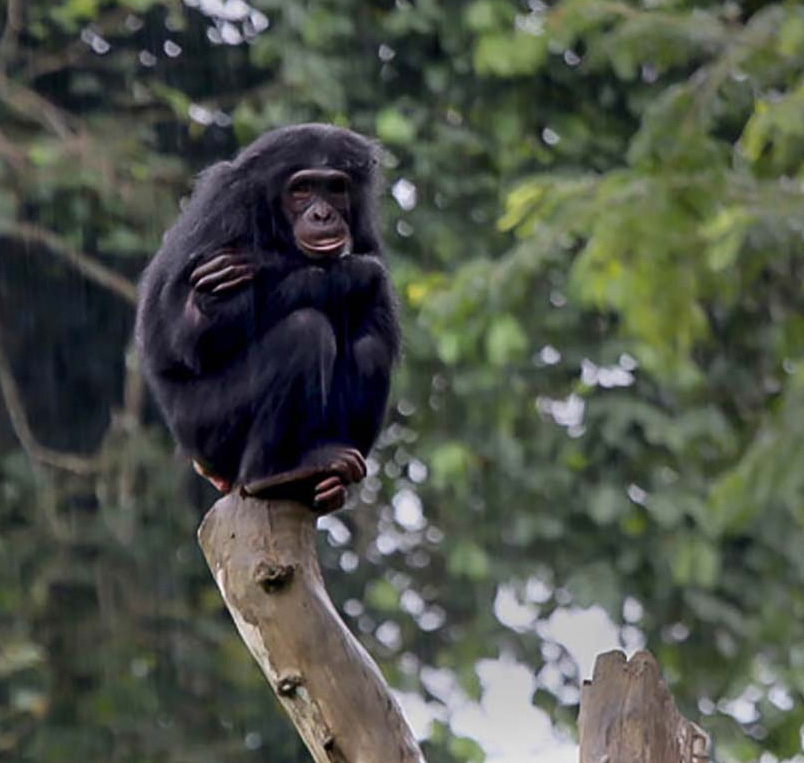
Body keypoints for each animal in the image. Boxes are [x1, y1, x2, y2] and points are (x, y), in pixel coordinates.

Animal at [138, 122, 406, 510]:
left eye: (335, 188)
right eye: (303, 188)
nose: (322, 215)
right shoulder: (222, 207)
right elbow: (189, 330)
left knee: (370, 345)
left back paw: (329, 477)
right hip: (207, 431)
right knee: (303, 332)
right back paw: (271, 474)